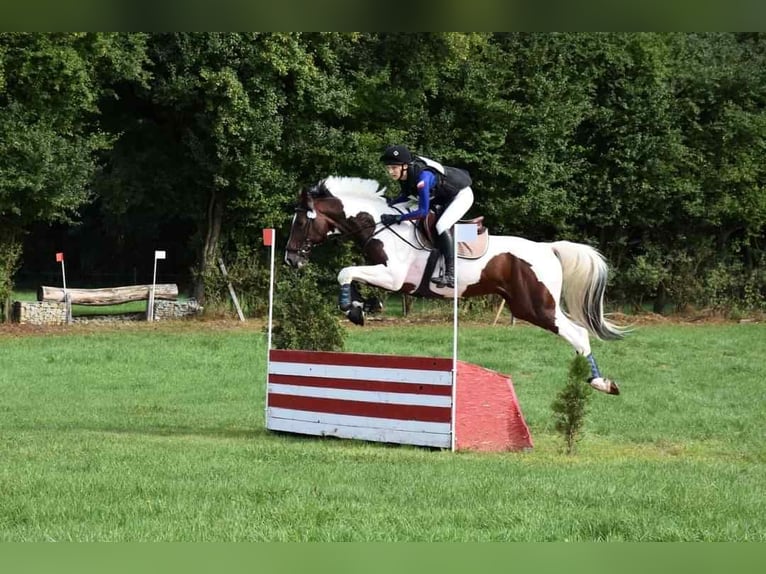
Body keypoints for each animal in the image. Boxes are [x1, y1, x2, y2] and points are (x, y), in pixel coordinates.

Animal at [284, 178, 628, 398]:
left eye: (300, 222)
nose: (290, 259)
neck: (381, 226)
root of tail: (548, 249)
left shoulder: (393, 276)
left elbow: (345, 272)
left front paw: (354, 310)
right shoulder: (386, 276)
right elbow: (353, 279)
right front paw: (362, 307)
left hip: (536, 306)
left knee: (578, 333)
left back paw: (601, 382)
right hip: (526, 305)